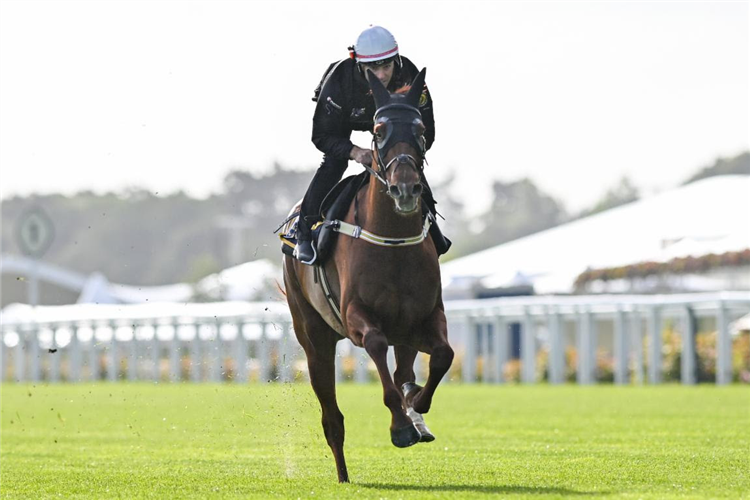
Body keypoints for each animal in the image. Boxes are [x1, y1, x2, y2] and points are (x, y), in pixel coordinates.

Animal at [284, 68, 456, 482]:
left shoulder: (424, 317)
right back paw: (343, 473)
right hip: (313, 336)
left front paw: (417, 407)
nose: (406, 188)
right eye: (378, 130)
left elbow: (443, 355)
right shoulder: (355, 317)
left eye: (419, 129)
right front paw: (401, 427)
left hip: (402, 331)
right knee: (331, 417)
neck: (392, 241)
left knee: (405, 366)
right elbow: (378, 348)